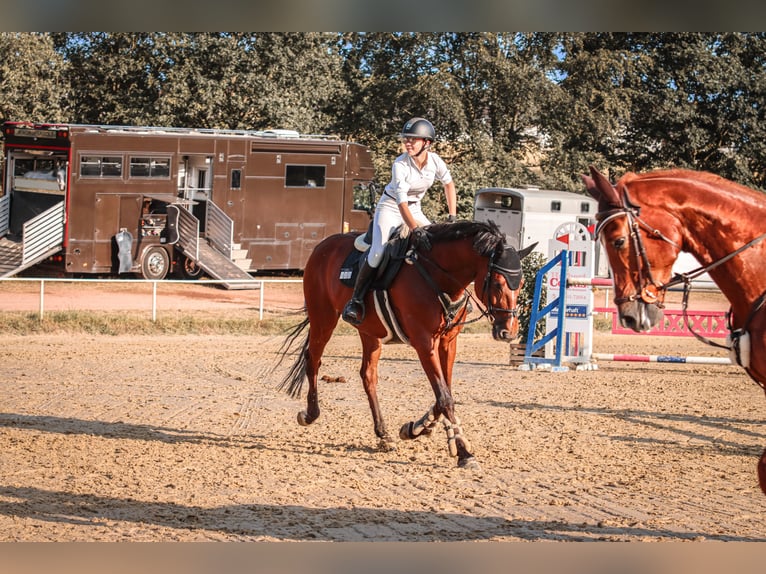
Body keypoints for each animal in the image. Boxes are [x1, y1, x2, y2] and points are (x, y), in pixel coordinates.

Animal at [274, 219, 536, 468]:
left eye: (522, 284)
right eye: (499, 284)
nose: (508, 332)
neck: (440, 277)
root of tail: (323, 245)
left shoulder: (448, 342)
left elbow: (445, 392)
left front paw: (417, 428)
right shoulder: (424, 343)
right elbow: (444, 397)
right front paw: (463, 451)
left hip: (369, 331)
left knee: (368, 375)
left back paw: (383, 435)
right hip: (324, 317)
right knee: (313, 360)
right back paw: (310, 414)